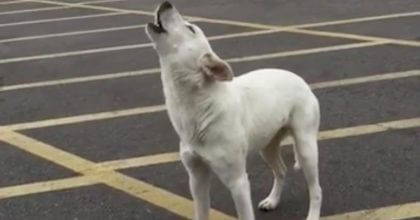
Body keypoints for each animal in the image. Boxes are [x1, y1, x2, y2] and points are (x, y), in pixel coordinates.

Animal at [145, 2, 322, 220]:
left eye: (190, 28)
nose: (166, 3)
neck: (200, 106)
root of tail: (300, 79)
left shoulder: (238, 181)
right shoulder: (196, 177)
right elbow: (201, 212)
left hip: (306, 148)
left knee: (316, 189)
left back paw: (312, 214)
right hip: (267, 146)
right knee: (281, 170)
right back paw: (272, 200)